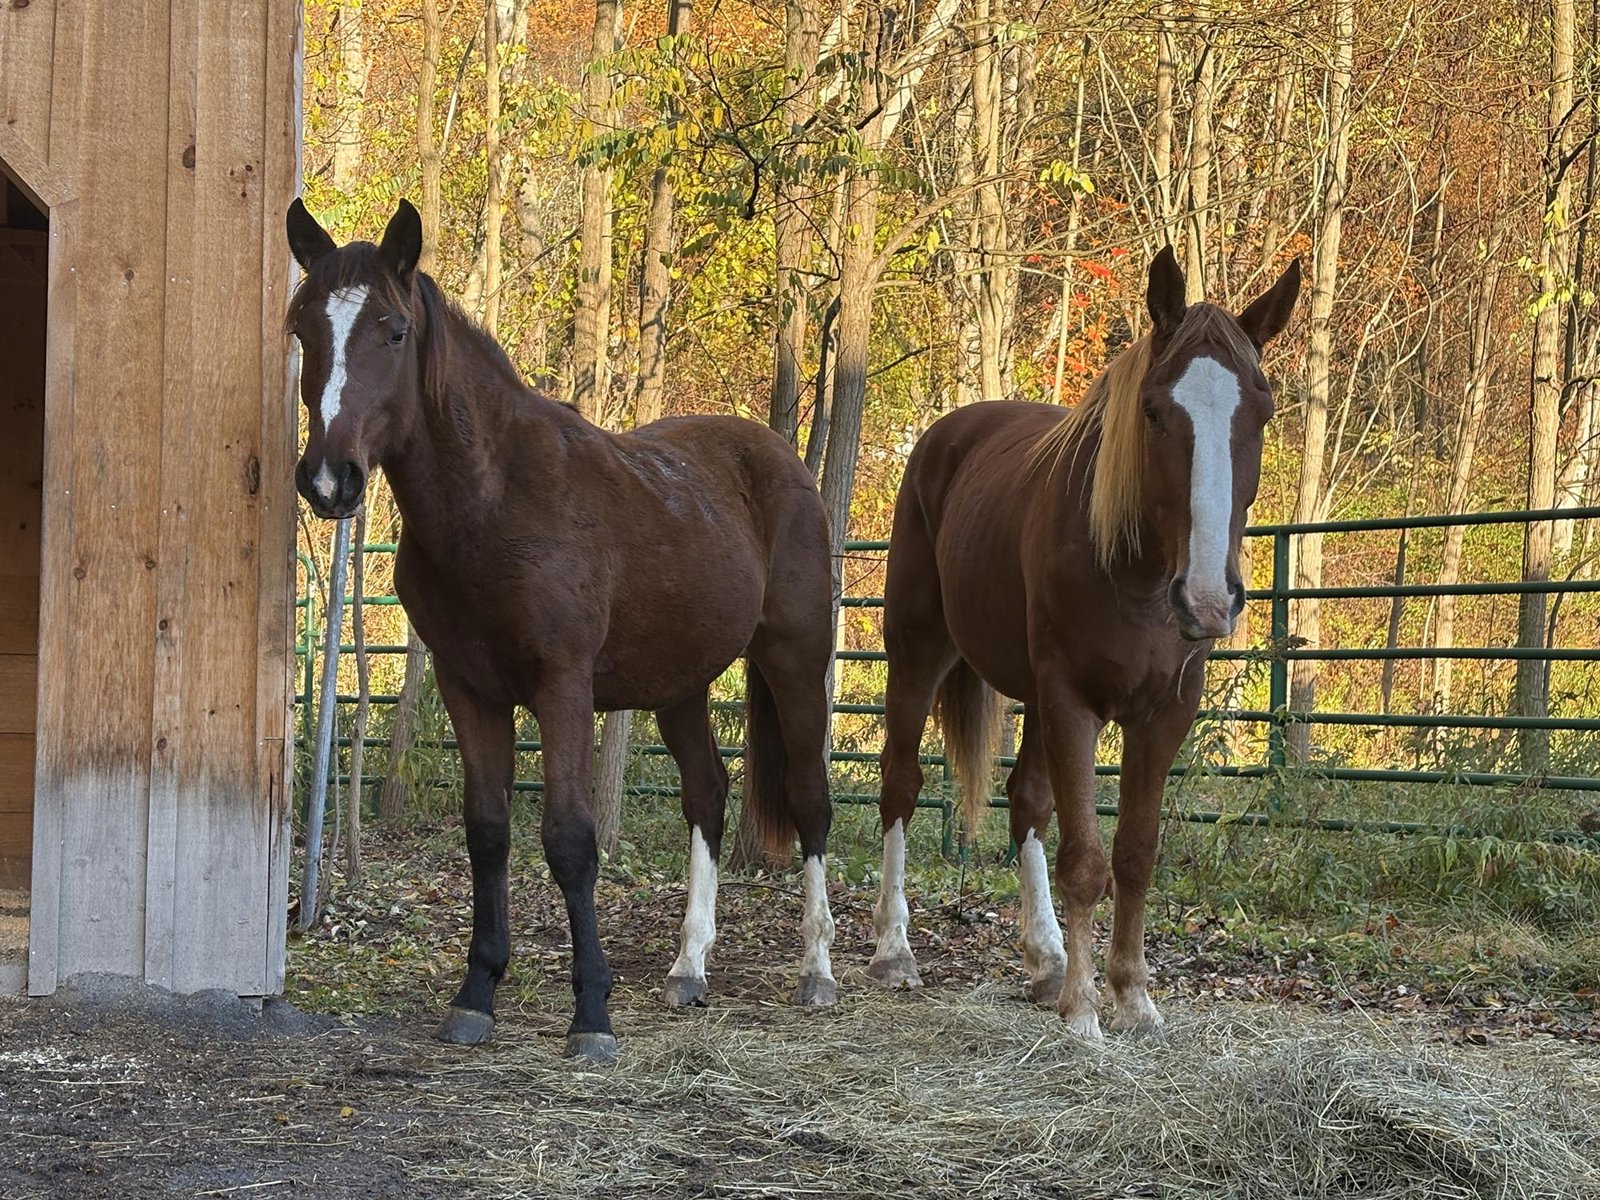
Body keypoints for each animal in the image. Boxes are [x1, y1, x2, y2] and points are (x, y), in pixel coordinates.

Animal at [284, 198, 839, 1062]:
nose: (328, 479)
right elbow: (487, 833)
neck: (496, 500)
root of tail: (780, 460)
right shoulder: (470, 688)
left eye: (394, 330)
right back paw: (688, 968)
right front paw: (476, 994)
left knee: (811, 798)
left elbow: (571, 840)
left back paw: (823, 970)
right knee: (707, 795)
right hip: (679, 686)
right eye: (305, 326)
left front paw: (592, 1014)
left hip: (794, 661)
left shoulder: (563, 687)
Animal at [866, 247, 1300, 1038]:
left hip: (1032, 697)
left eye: (1262, 412)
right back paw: (895, 951)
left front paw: (1130, 995)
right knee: (901, 786)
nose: (1207, 599)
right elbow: (1085, 861)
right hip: (918, 656)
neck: (1134, 570)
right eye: (1155, 413)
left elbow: (1133, 852)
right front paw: (1084, 1012)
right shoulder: (1073, 702)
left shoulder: (1163, 714)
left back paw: (1044, 959)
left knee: (1027, 801)